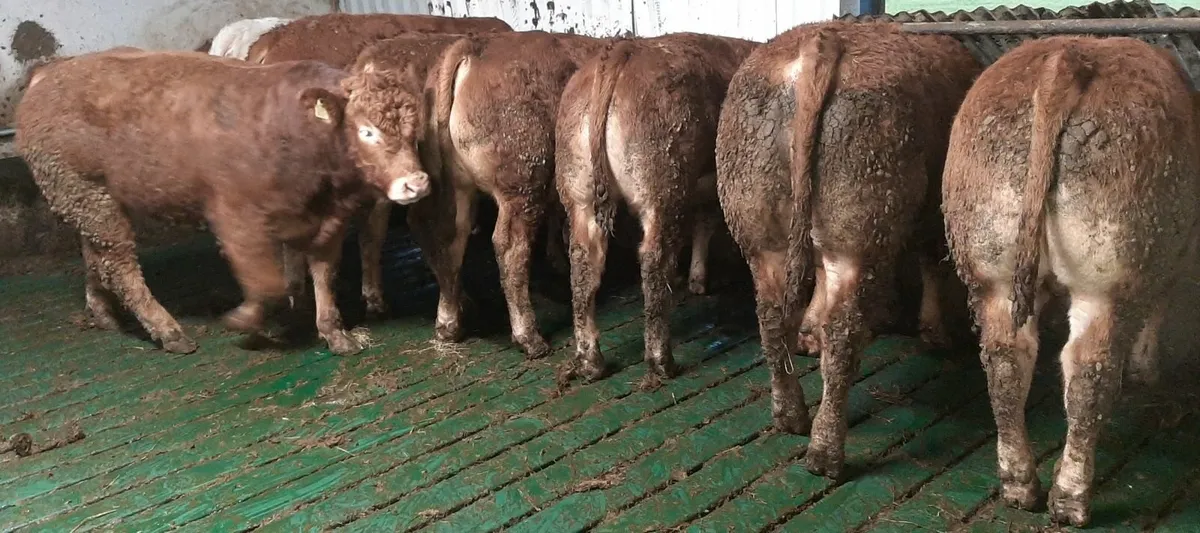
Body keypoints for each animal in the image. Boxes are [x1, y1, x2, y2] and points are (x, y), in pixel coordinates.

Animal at [13, 47, 430, 356]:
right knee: (120, 265)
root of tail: (50, 71)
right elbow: (267, 284)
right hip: (88, 196)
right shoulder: (236, 216)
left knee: (93, 254)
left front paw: (335, 334)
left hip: (89, 198)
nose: (416, 182)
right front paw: (246, 320)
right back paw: (168, 331)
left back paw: (102, 312)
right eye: (367, 131)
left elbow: (324, 275)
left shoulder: (329, 220)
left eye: (415, 130)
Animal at [340, 31, 606, 359]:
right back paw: (528, 336)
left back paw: (447, 320)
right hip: (522, 184)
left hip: (454, 185)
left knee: (442, 234)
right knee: (509, 248)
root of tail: (474, 52)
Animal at [554, 33, 758, 383]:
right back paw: (661, 360)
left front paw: (696, 278)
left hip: (579, 190)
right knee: (653, 259)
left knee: (583, 262)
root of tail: (623, 50)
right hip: (662, 185)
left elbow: (703, 223)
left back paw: (591, 361)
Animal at [715, 20, 981, 480]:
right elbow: (932, 262)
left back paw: (790, 415)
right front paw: (935, 332)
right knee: (842, 333)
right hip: (858, 228)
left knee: (773, 316)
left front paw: (810, 333)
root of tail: (821, 44)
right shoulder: (935, 210)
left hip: (762, 227)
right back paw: (825, 452)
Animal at [942, 36, 1200, 527]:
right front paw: (1145, 367)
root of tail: (1067, 61)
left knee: (1006, 360)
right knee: (1088, 375)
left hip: (990, 265)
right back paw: (1070, 497)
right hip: (1106, 280)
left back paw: (1019, 484)